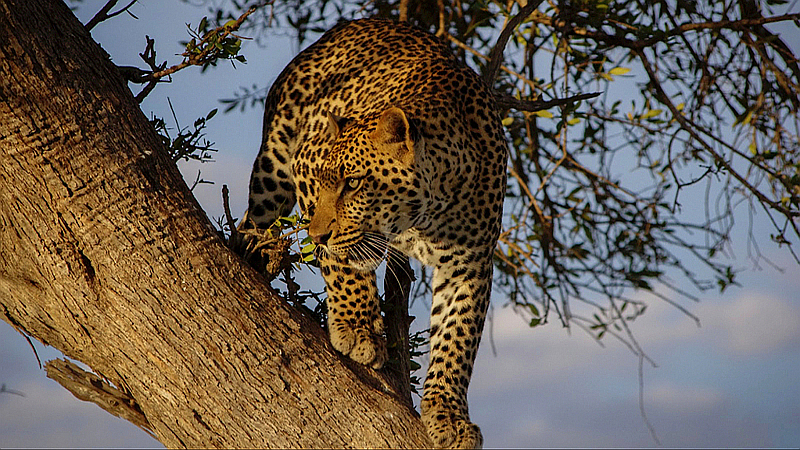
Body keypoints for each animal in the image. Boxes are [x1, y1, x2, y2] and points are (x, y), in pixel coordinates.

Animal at [244, 18, 507, 449]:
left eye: (352, 184)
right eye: (324, 181)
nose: (315, 236)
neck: (424, 214)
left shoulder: (470, 263)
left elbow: (457, 339)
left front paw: (449, 417)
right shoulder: (305, 166)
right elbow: (343, 266)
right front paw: (357, 329)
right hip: (274, 165)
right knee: (253, 220)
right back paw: (255, 251)